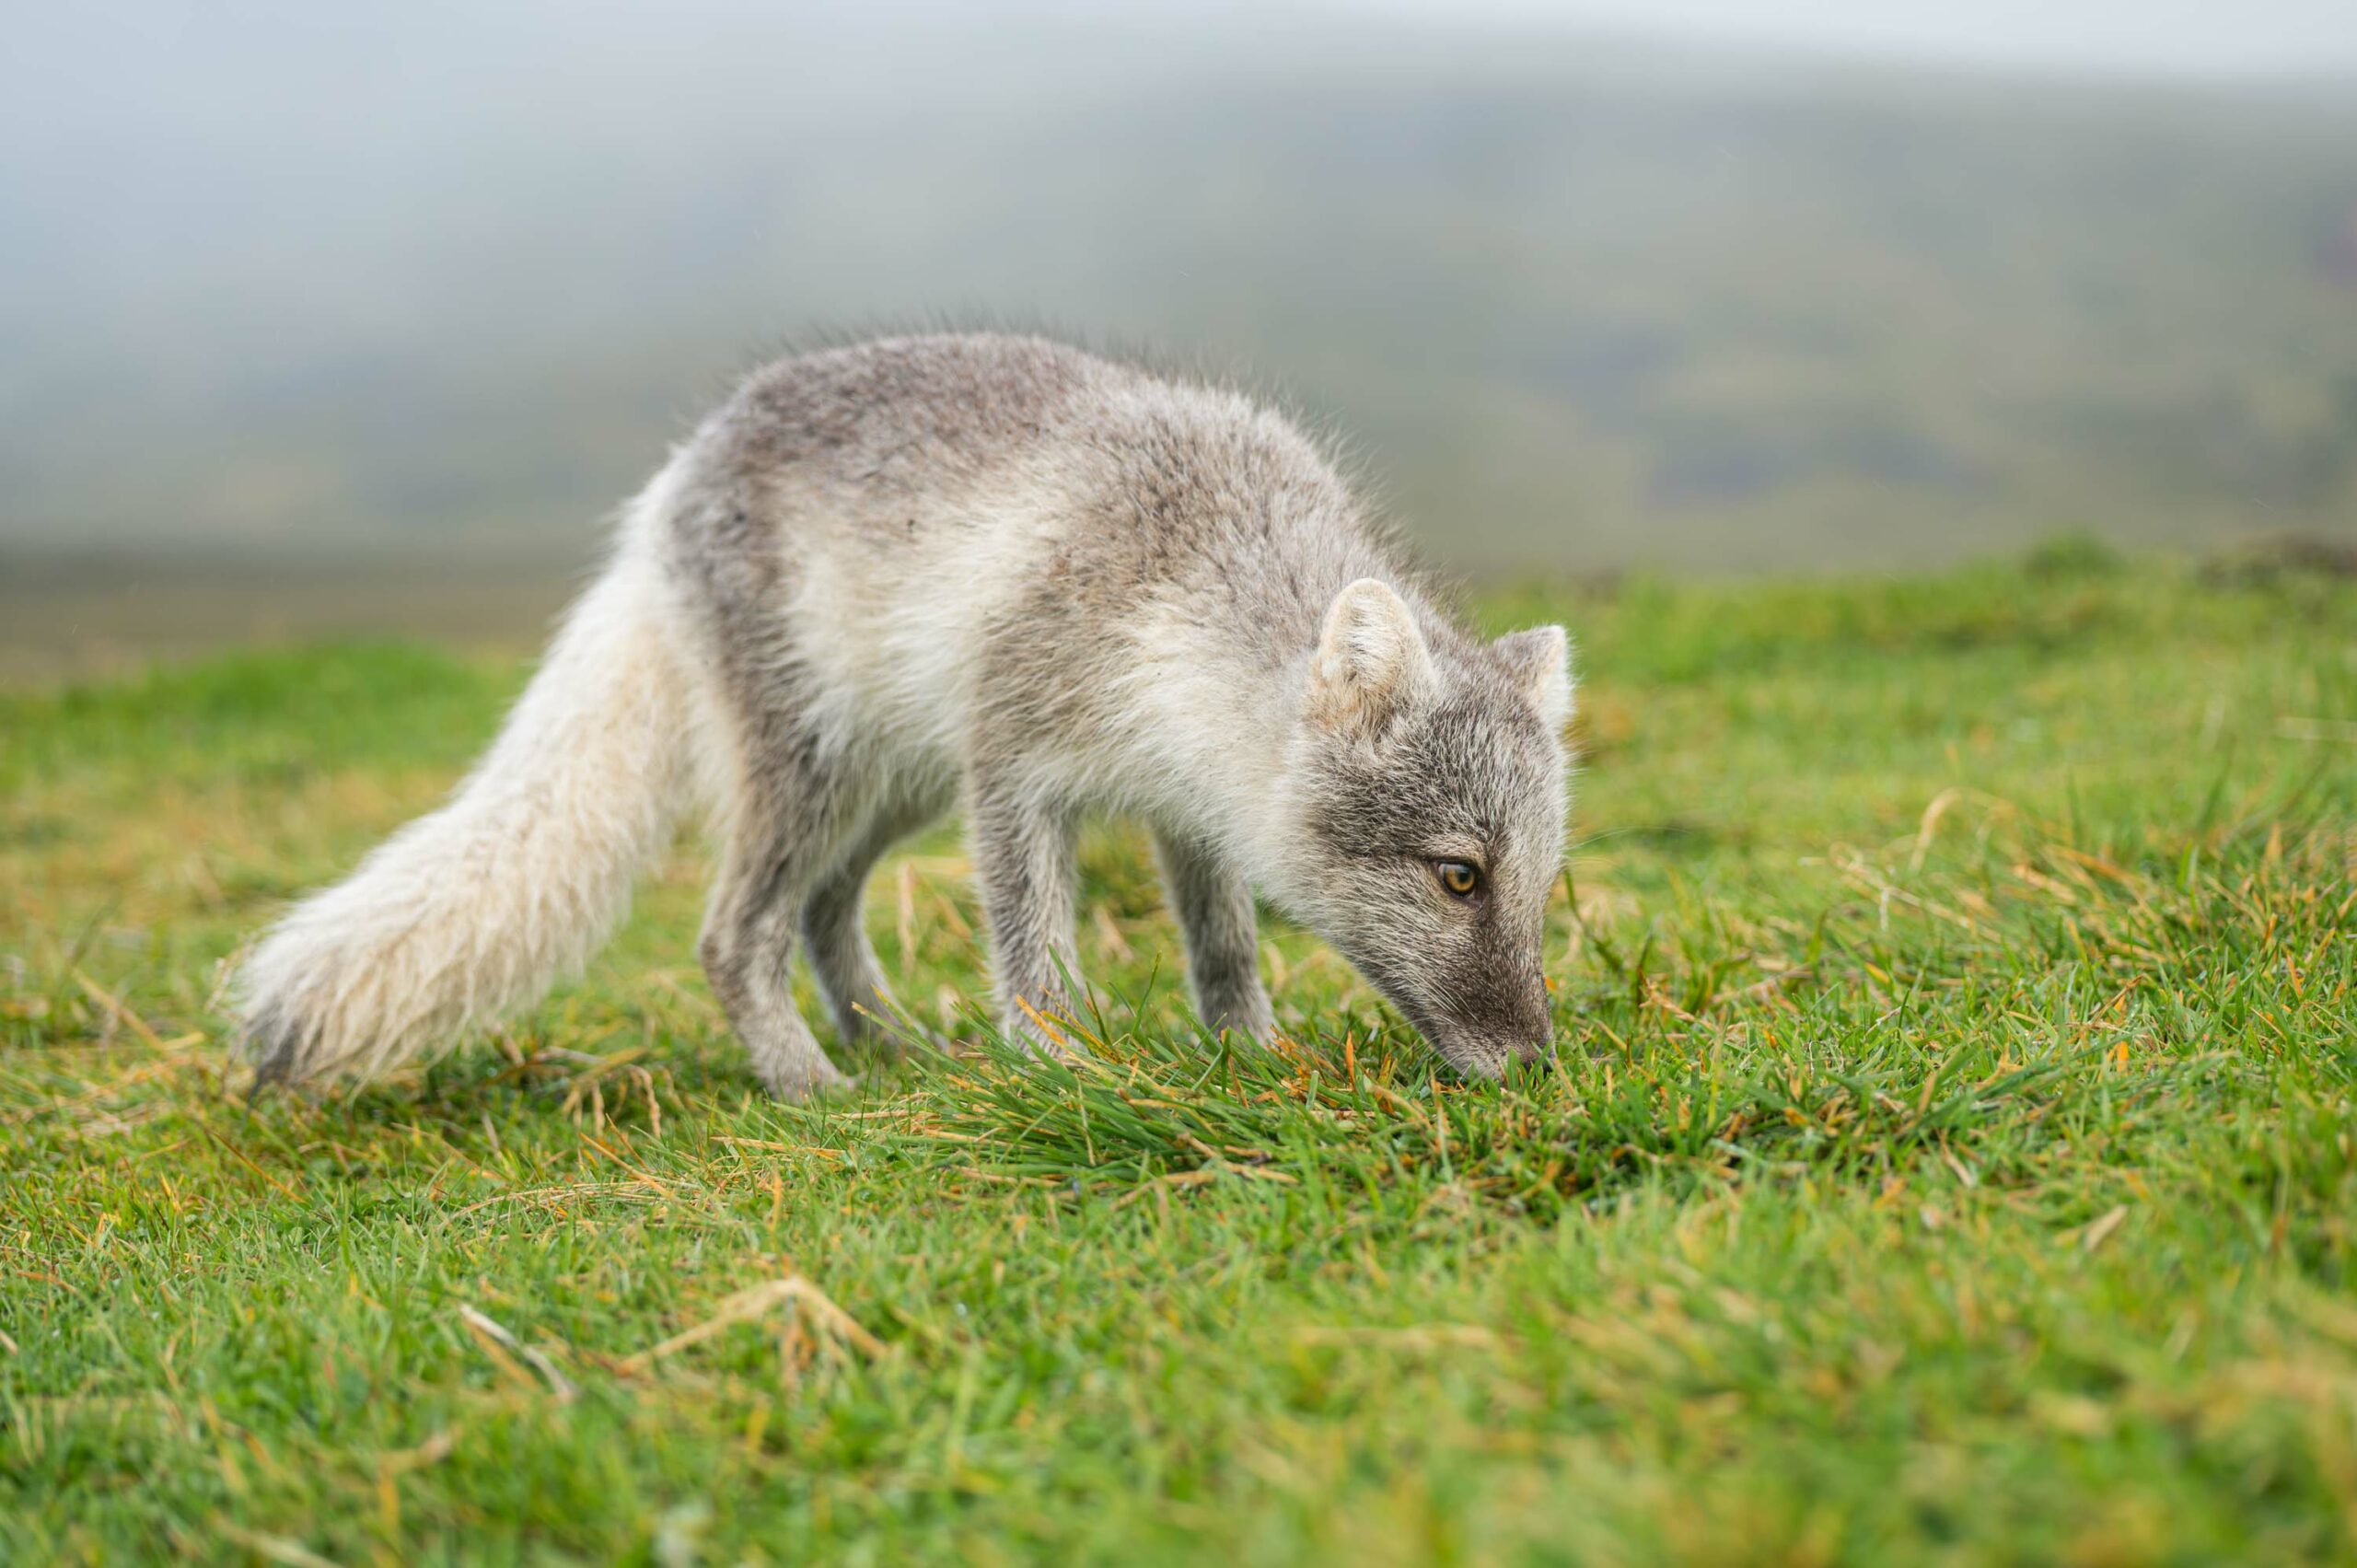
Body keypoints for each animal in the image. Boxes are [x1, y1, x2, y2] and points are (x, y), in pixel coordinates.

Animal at [236, 333, 1575, 1098]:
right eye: (1459, 874)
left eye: (1538, 883)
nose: (1534, 1068)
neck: (1181, 577)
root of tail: (670, 481)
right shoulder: (1012, 766)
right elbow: (1034, 958)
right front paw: (1069, 1071)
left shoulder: (1181, 802)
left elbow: (1224, 948)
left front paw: (1252, 1054)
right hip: (822, 769)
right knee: (734, 935)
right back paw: (814, 1088)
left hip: (898, 783)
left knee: (823, 910)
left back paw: (895, 1054)